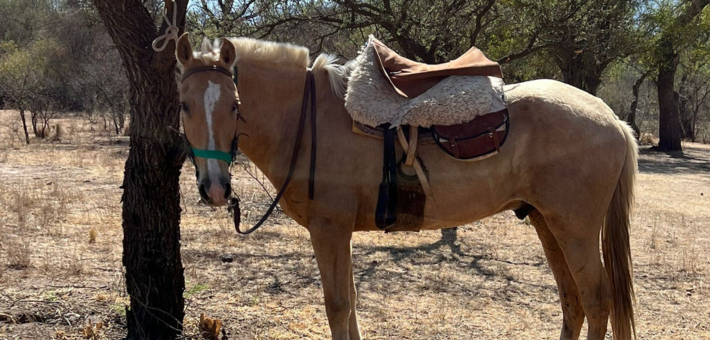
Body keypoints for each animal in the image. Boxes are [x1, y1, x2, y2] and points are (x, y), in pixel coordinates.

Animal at [174, 32, 640, 340]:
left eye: (234, 105)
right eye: (184, 105)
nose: (215, 189)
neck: (306, 120)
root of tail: (613, 119)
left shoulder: (329, 229)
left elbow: (337, 305)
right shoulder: (338, 233)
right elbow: (351, 300)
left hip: (575, 229)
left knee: (597, 300)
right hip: (547, 222)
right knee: (573, 301)